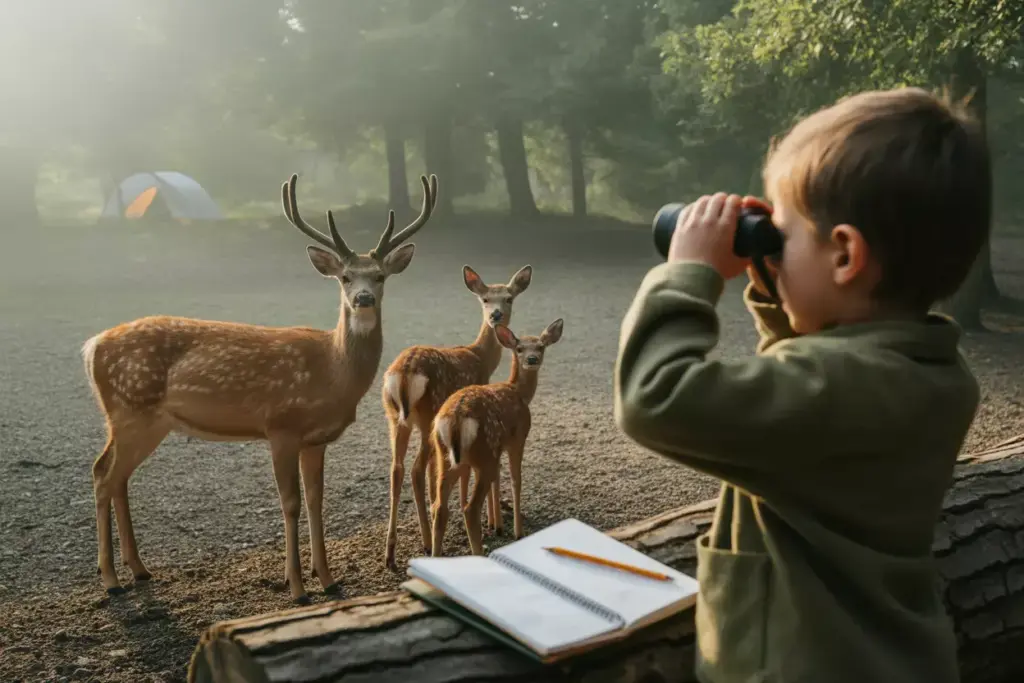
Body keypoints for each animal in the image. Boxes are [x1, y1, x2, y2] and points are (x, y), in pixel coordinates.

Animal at [82, 173, 438, 604]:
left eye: (381, 276)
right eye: (345, 277)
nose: (364, 298)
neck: (332, 371)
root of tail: (92, 346)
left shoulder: (316, 439)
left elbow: (317, 501)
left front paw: (328, 579)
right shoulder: (280, 426)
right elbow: (291, 503)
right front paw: (297, 587)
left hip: (142, 420)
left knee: (115, 475)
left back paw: (138, 569)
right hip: (130, 409)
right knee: (104, 474)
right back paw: (111, 580)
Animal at [381, 264, 533, 568]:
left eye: (508, 298)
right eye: (485, 299)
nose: (495, 315)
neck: (480, 358)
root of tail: (403, 375)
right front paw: (492, 522)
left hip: (395, 417)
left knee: (396, 469)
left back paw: (391, 554)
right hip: (427, 414)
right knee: (415, 469)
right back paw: (427, 542)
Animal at [429, 318, 564, 558]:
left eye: (541, 347)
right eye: (519, 349)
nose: (532, 359)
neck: (519, 392)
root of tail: (454, 419)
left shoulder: (498, 447)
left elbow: (498, 480)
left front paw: (497, 525)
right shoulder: (517, 437)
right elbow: (516, 480)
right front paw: (517, 532)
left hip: (446, 455)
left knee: (439, 507)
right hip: (483, 453)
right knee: (470, 509)